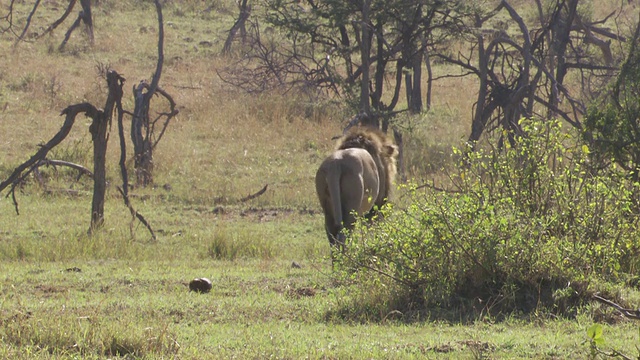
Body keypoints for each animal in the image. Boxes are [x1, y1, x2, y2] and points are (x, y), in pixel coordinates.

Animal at [314, 126, 398, 256]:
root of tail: (335, 164)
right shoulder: (375, 208)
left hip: (327, 206)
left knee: (331, 236)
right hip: (352, 206)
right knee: (343, 236)